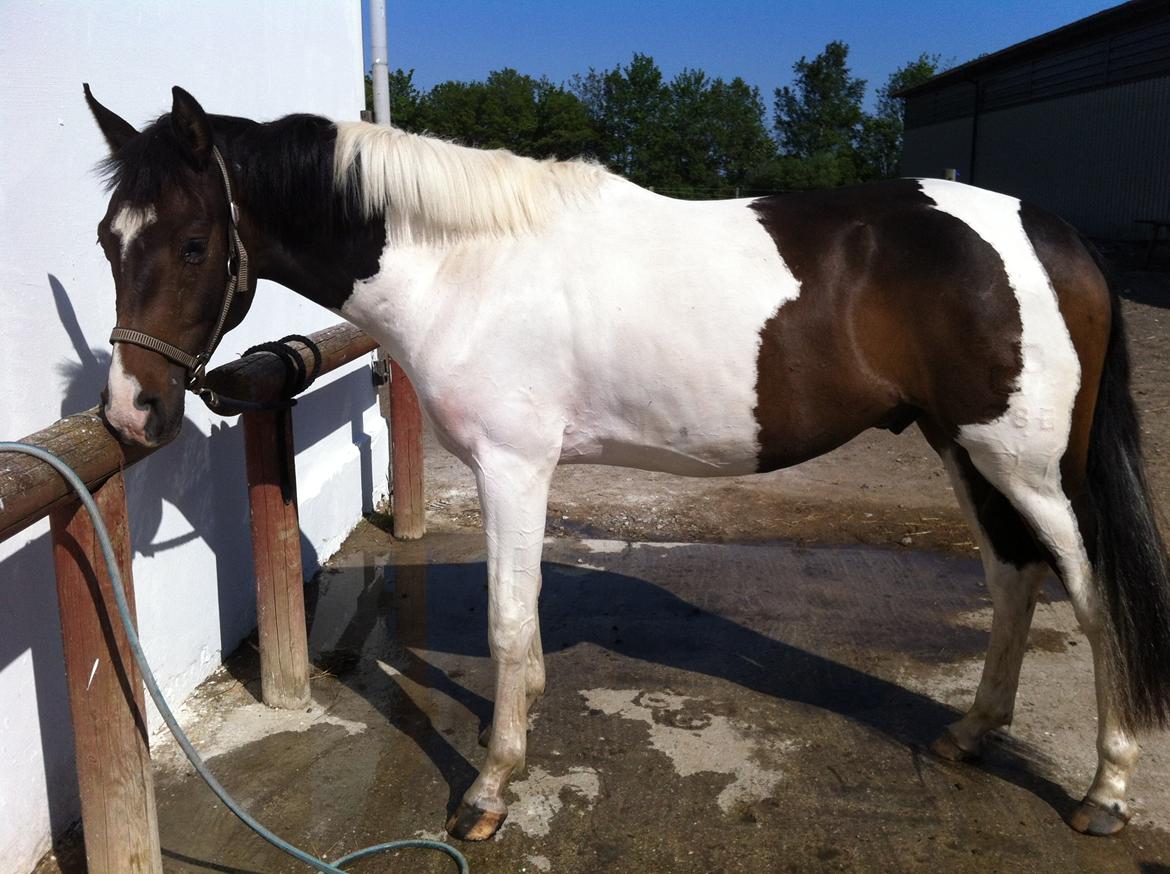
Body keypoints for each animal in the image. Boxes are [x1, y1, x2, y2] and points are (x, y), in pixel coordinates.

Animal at [84, 87, 1170, 842]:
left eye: (195, 241)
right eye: (107, 239)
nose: (132, 412)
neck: (467, 263)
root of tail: (1047, 230)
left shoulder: (514, 467)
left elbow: (508, 623)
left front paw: (489, 787)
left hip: (1027, 465)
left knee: (1089, 593)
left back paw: (1106, 788)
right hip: (963, 448)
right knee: (1012, 577)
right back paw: (972, 733)